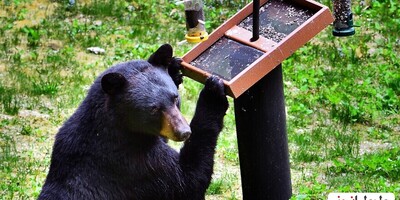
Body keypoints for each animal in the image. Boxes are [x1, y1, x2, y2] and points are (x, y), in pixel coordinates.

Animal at [39, 43, 230, 198]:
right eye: (154, 109)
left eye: (175, 98)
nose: (184, 132)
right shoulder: (136, 163)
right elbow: (187, 180)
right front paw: (213, 94)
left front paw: (173, 67)